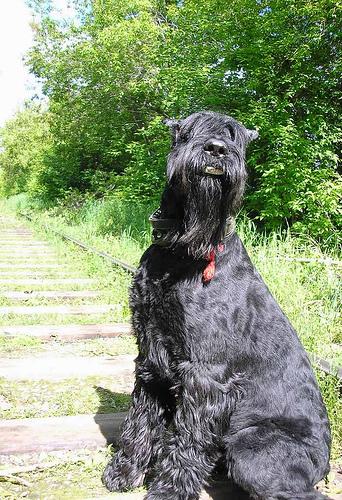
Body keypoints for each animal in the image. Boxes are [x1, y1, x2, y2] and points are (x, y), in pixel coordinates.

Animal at [103, 111, 330, 498]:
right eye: (188, 129)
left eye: (236, 138)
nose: (217, 149)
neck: (180, 250)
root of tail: (325, 463)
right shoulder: (150, 353)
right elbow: (141, 416)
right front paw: (125, 470)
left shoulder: (206, 374)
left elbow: (188, 439)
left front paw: (168, 490)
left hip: (251, 452)